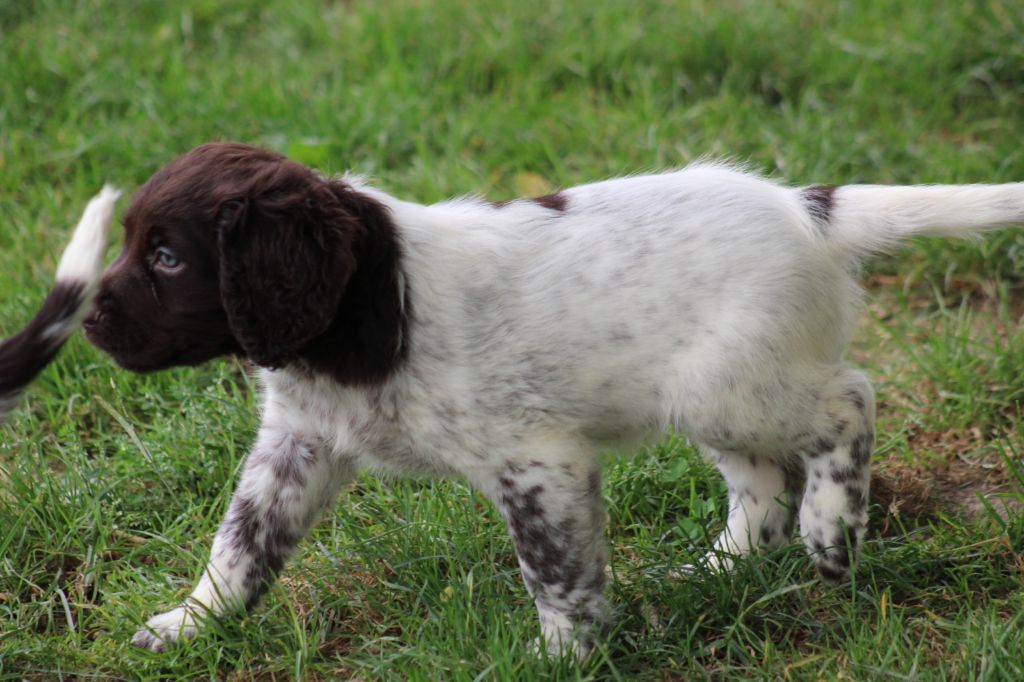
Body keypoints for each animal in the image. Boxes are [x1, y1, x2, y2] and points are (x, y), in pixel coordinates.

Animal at [86, 143, 1024, 655]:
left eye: (167, 257)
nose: (86, 319)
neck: (365, 311)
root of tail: (809, 210)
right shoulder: (297, 443)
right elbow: (241, 545)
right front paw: (192, 624)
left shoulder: (538, 462)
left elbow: (556, 570)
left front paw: (565, 654)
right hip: (709, 392)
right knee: (760, 482)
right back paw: (722, 566)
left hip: (733, 386)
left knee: (848, 402)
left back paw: (831, 531)